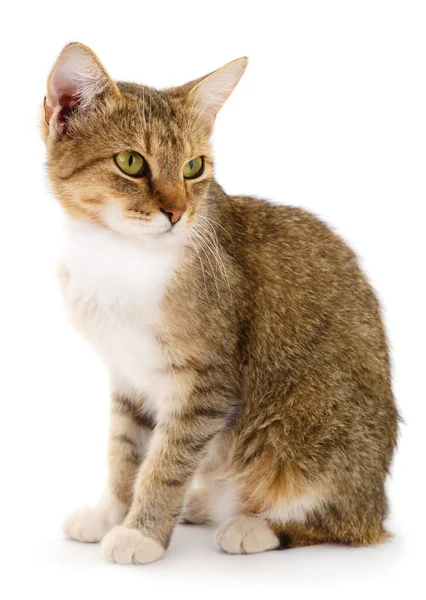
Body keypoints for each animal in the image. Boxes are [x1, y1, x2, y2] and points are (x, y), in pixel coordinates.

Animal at [41, 42, 398, 564]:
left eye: (194, 167)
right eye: (131, 162)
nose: (177, 212)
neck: (121, 256)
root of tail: (377, 502)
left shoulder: (206, 384)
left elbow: (166, 463)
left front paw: (141, 532)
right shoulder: (128, 378)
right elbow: (125, 452)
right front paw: (111, 513)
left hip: (308, 430)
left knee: (341, 522)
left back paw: (254, 525)